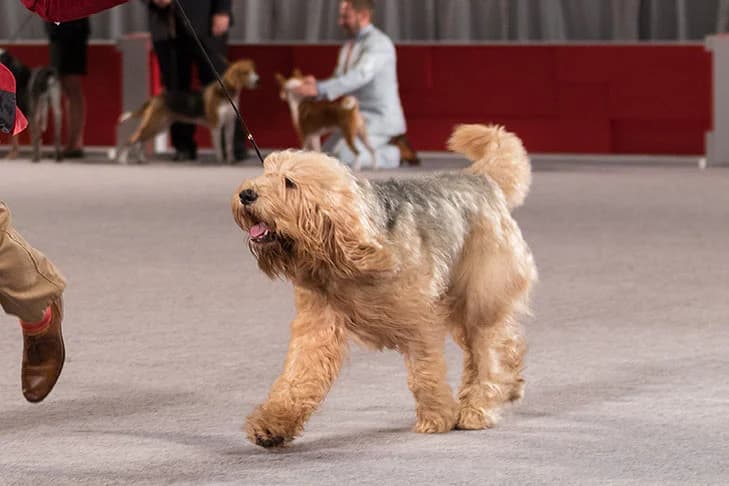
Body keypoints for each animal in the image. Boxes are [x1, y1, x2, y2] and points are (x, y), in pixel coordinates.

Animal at [115, 58, 258, 164]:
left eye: (253, 71)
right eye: (245, 72)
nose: (258, 80)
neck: (226, 93)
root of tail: (155, 97)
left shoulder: (230, 124)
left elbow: (229, 145)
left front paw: (231, 160)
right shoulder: (216, 124)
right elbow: (218, 145)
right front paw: (221, 160)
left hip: (159, 126)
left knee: (140, 142)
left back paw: (141, 159)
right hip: (153, 123)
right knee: (132, 139)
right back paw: (122, 159)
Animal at [232, 124, 536, 448]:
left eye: (289, 182)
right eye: (265, 172)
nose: (246, 194)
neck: (341, 254)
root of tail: (482, 180)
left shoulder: (421, 323)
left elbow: (425, 373)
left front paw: (436, 416)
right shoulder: (317, 326)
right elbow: (298, 377)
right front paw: (272, 424)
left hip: (480, 299)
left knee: (491, 352)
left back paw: (477, 408)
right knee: (503, 345)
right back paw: (509, 387)